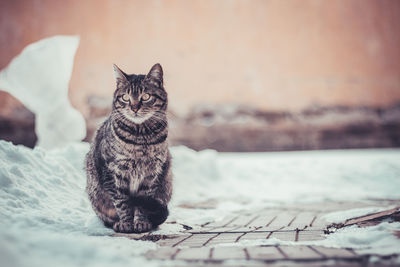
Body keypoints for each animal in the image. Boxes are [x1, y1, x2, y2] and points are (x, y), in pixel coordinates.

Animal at [84, 63, 172, 233]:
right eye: (125, 97)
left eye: (146, 96)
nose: (134, 107)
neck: (141, 138)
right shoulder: (113, 171)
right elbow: (122, 201)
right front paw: (125, 223)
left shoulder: (151, 173)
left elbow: (142, 203)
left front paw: (141, 222)